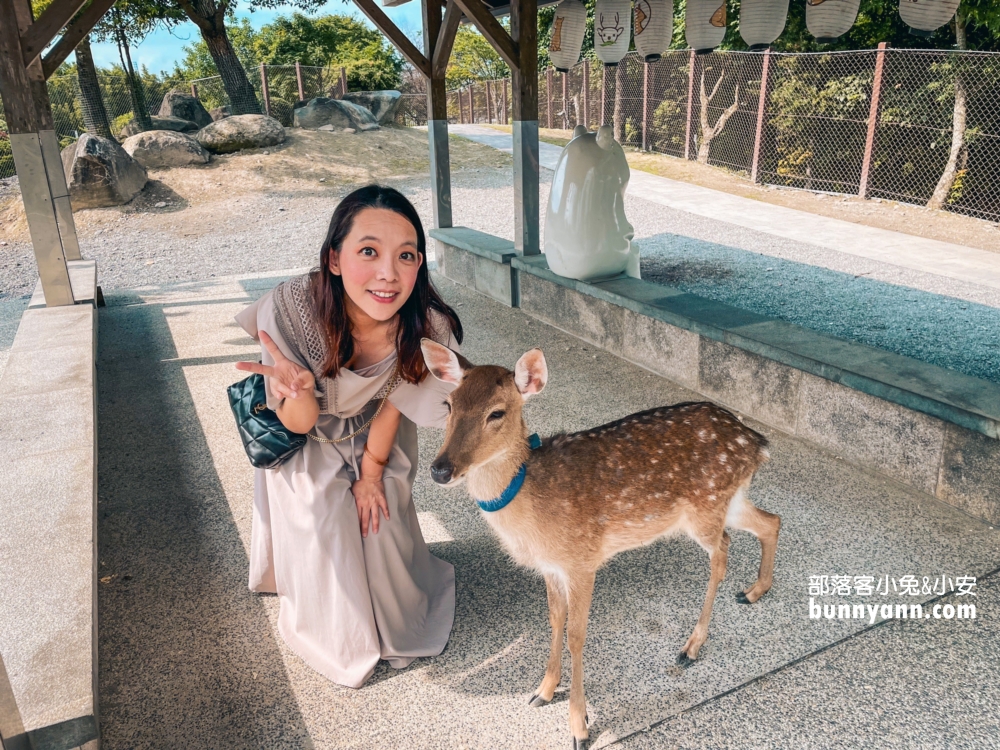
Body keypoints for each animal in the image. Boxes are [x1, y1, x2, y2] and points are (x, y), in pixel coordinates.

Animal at [422, 342, 780, 750]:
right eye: (448, 404)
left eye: (497, 412)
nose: (440, 469)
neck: (532, 511)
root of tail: (757, 443)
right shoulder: (551, 566)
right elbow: (554, 619)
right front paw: (542, 691)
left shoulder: (583, 560)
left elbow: (576, 635)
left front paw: (579, 726)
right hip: (727, 501)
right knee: (771, 522)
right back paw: (754, 591)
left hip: (706, 507)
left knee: (722, 550)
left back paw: (692, 646)